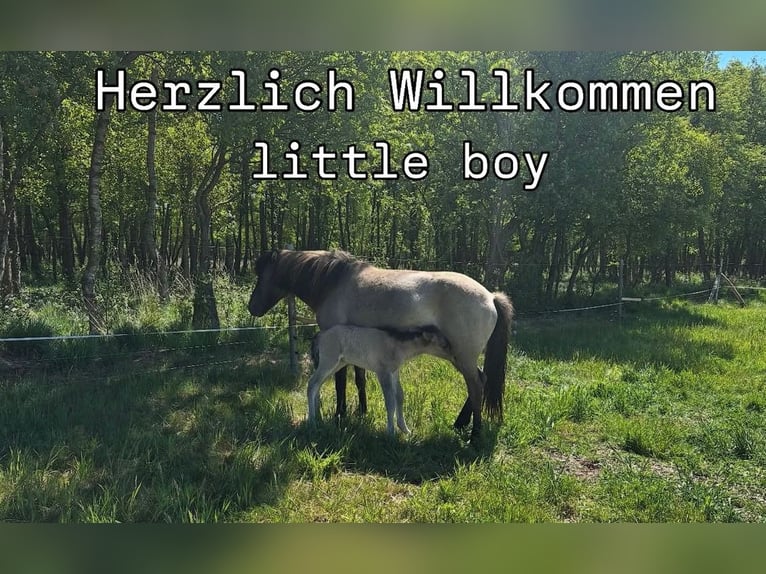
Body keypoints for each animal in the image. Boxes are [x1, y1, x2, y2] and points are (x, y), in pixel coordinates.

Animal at [308, 325, 452, 434]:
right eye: (443, 345)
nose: (453, 355)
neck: (397, 346)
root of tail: (321, 334)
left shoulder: (394, 372)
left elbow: (399, 396)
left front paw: (405, 429)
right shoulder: (383, 373)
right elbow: (390, 401)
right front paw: (391, 432)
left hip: (338, 363)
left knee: (317, 385)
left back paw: (318, 418)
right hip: (329, 360)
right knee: (311, 384)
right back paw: (312, 421)